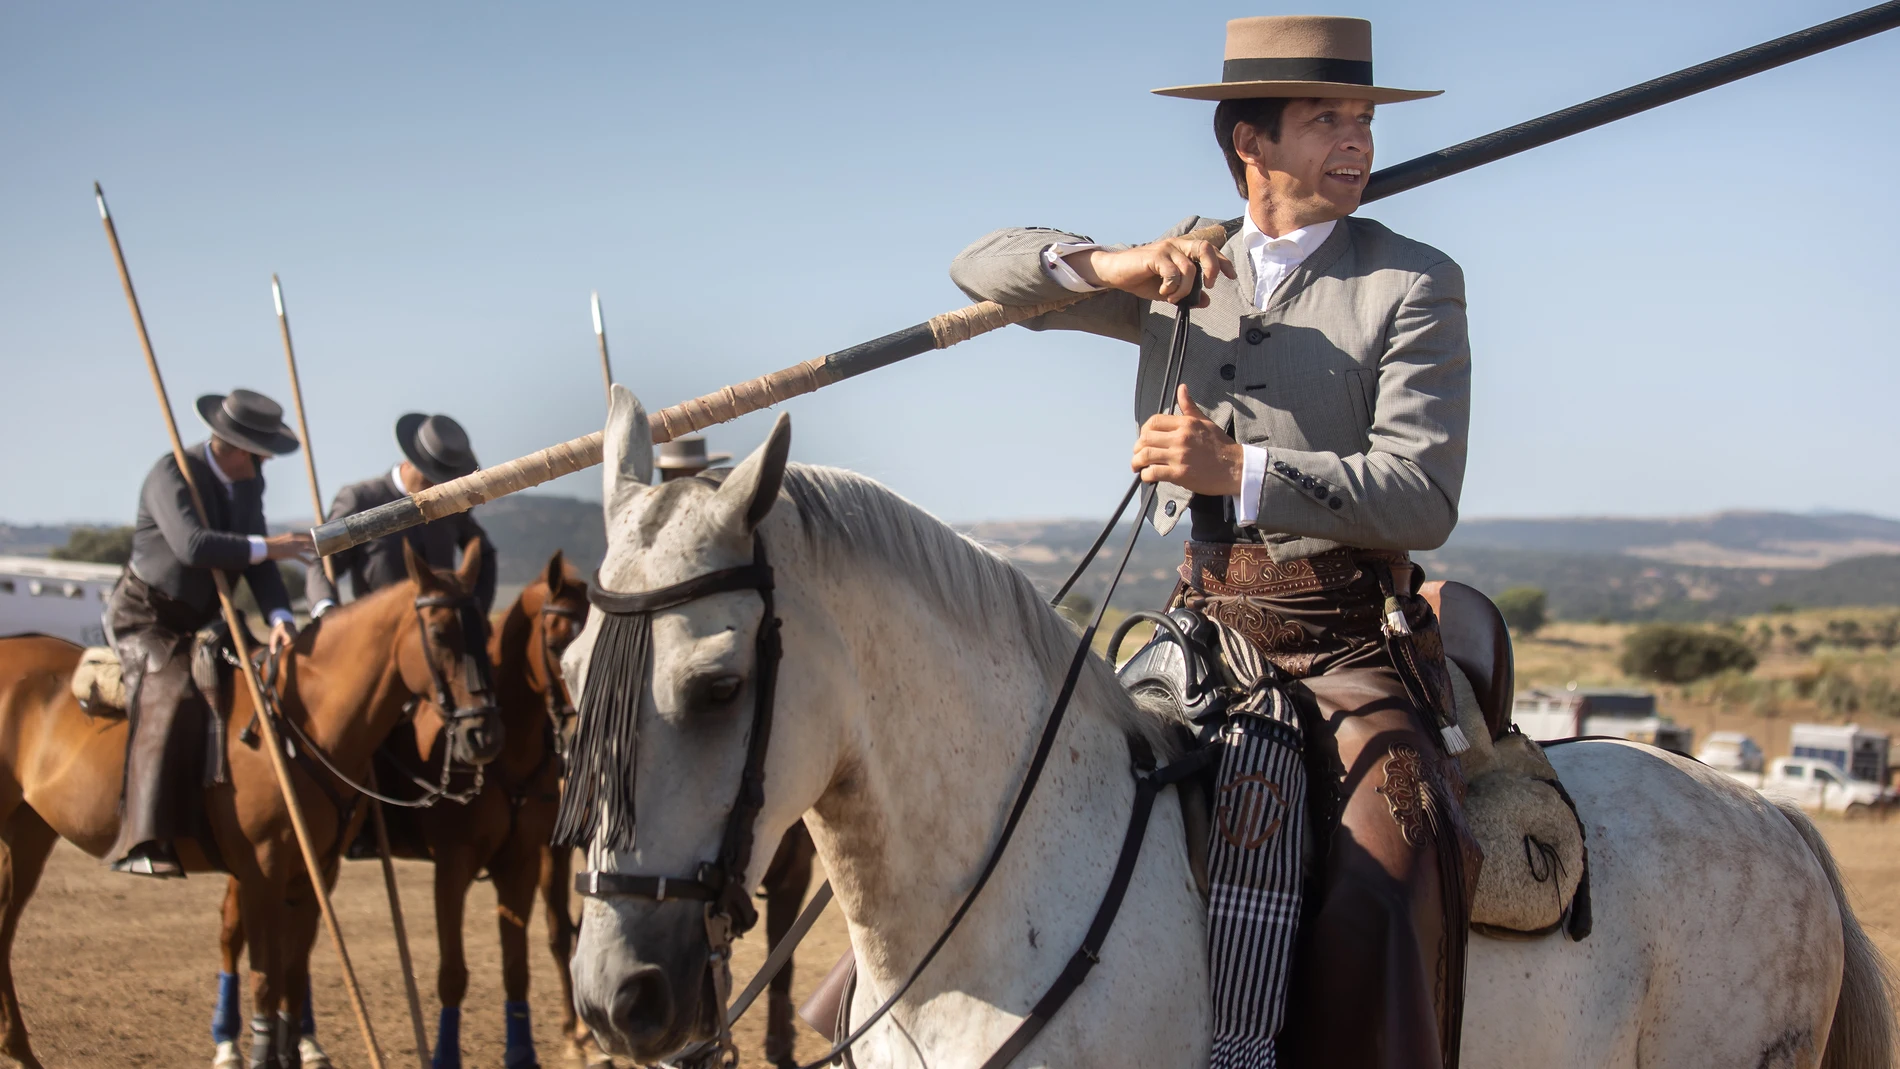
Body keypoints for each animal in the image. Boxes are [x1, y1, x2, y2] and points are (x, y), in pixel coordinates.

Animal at [0, 543, 497, 1069]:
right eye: (439, 633)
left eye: (485, 631)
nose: (485, 735)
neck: (300, 723)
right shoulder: (263, 868)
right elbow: (265, 977)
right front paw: (262, 1054)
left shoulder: (315, 872)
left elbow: (293, 976)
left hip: (29, 831)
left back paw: (21, 1051)